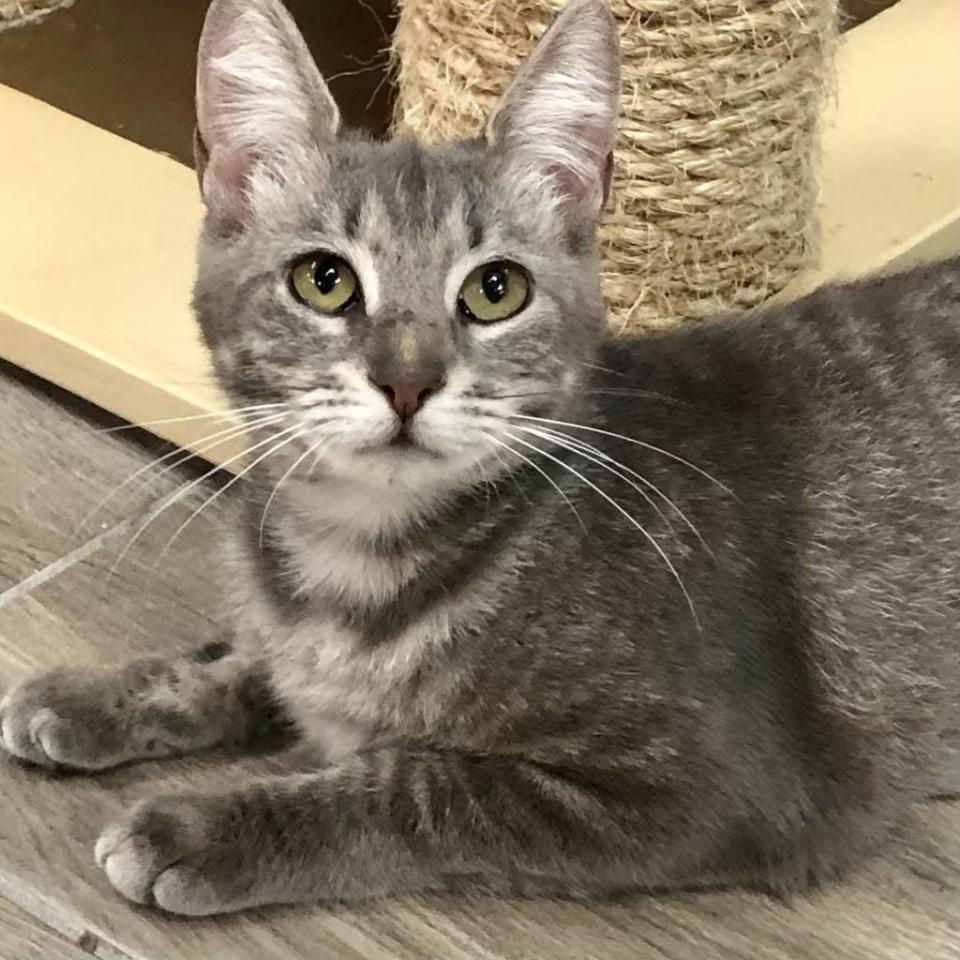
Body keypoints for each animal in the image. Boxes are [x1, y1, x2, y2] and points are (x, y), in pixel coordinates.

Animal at [1, 0, 960, 920]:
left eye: (496, 291)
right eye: (323, 281)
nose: (408, 381)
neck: (357, 558)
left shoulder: (703, 790)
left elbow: (415, 786)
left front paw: (207, 828)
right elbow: (243, 660)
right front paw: (98, 698)